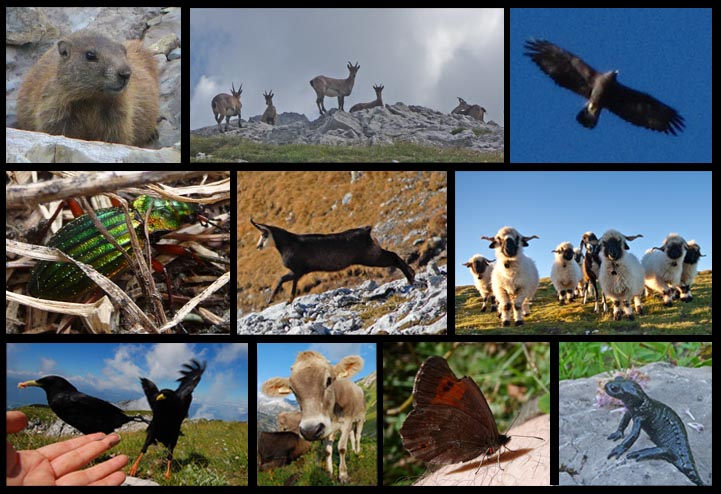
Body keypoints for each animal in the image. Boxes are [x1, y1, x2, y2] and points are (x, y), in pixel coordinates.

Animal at [260, 352, 366, 482]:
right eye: (292, 389)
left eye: (329, 381)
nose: (309, 431)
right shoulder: (327, 428)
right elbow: (327, 450)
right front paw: (329, 473)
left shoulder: (346, 422)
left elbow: (341, 448)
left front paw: (343, 475)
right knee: (351, 435)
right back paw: (353, 450)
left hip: (360, 418)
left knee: (357, 435)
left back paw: (357, 451)